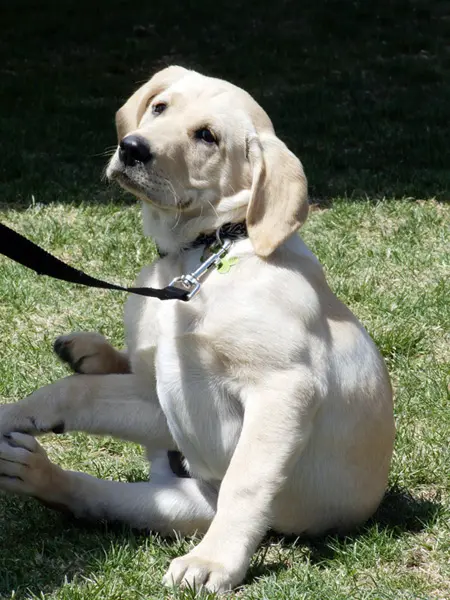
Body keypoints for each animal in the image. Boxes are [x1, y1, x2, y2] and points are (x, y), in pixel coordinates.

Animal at [0, 65, 394, 592]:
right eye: (159, 107)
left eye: (207, 136)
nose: (132, 148)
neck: (203, 256)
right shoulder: (165, 391)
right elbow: (74, 393)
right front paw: (11, 413)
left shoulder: (283, 389)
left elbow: (247, 481)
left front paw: (214, 562)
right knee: (96, 488)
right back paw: (42, 454)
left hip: (188, 504)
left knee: (112, 499)